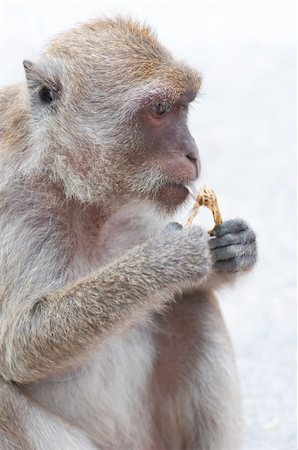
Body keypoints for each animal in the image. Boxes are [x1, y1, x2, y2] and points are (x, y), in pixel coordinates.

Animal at [0, 17, 258, 450]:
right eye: (160, 110)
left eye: (185, 106)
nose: (193, 153)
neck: (73, 189)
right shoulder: (12, 210)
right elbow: (18, 344)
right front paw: (167, 261)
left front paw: (235, 247)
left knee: (192, 303)